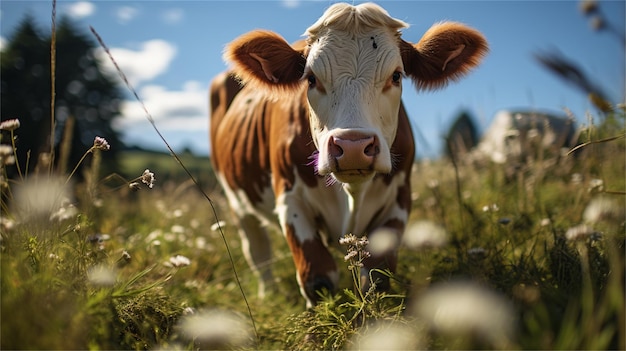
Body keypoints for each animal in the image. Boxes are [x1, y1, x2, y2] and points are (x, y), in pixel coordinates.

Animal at [210, 2, 488, 308]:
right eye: (311, 79)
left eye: (396, 76)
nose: (353, 147)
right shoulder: (290, 199)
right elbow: (317, 278)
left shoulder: (399, 199)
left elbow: (377, 276)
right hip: (236, 202)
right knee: (258, 252)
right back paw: (268, 295)